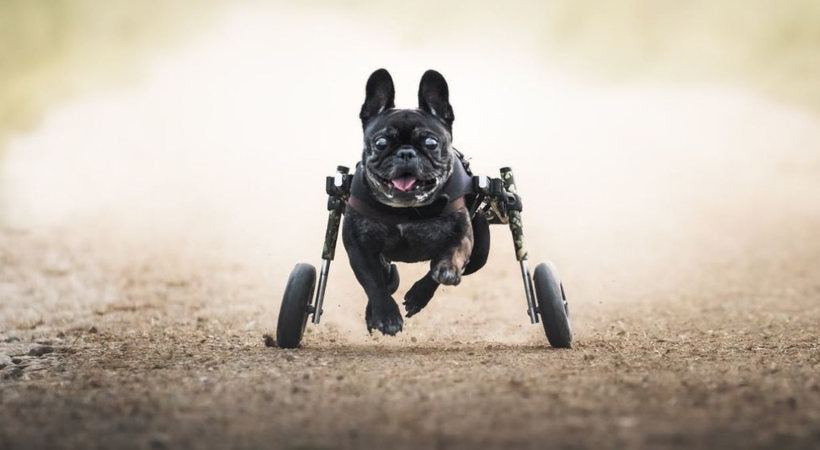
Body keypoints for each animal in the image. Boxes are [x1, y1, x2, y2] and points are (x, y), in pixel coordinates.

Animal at [342, 68, 478, 336]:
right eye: (381, 143)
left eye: (430, 143)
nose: (406, 153)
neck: (406, 210)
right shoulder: (359, 247)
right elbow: (374, 283)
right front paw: (385, 316)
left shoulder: (463, 234)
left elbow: (450, 255)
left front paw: (442, 274)